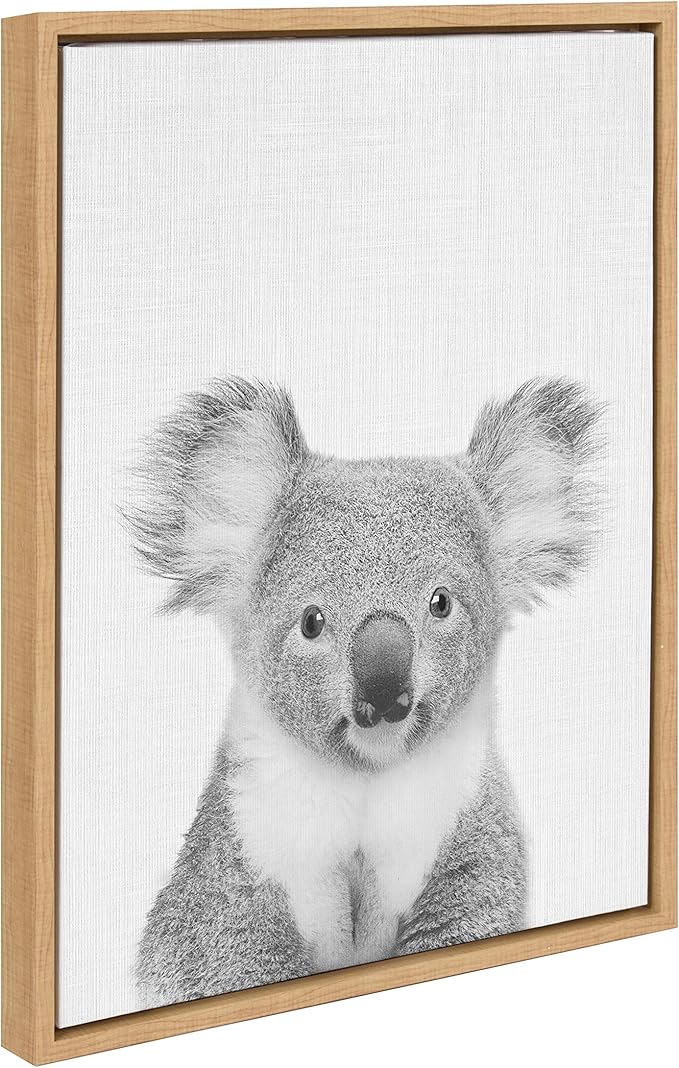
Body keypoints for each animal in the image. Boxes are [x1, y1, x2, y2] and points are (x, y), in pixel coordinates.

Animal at [126, 375, 600, 1008]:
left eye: (441, 603)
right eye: (312, 622)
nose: (385, 690)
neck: (366, 780)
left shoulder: (465, 837)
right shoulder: (243, 855)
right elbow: (221, 955)